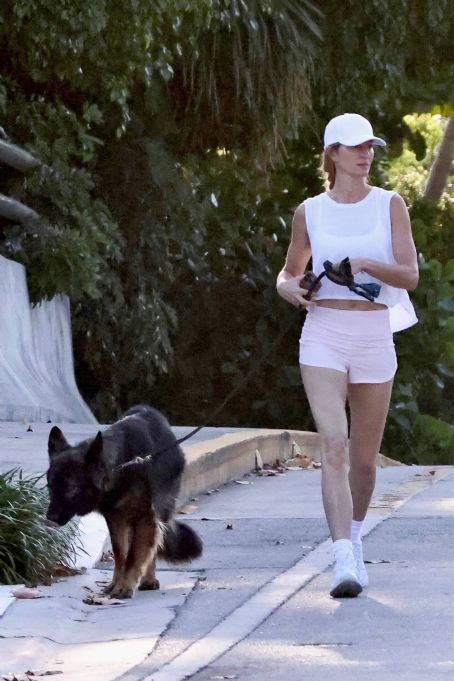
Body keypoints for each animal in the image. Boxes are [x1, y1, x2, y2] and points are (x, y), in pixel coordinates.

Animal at [46, 404, 202, 596]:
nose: (50, 518)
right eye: (50, 487)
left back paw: (149, 579)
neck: (121, 467)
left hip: (155, 515)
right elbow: (120, 554)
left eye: (71, 488)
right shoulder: (116, 520)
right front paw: (117, 583)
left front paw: (125, 586)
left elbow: (134, 555)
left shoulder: (145, 518)